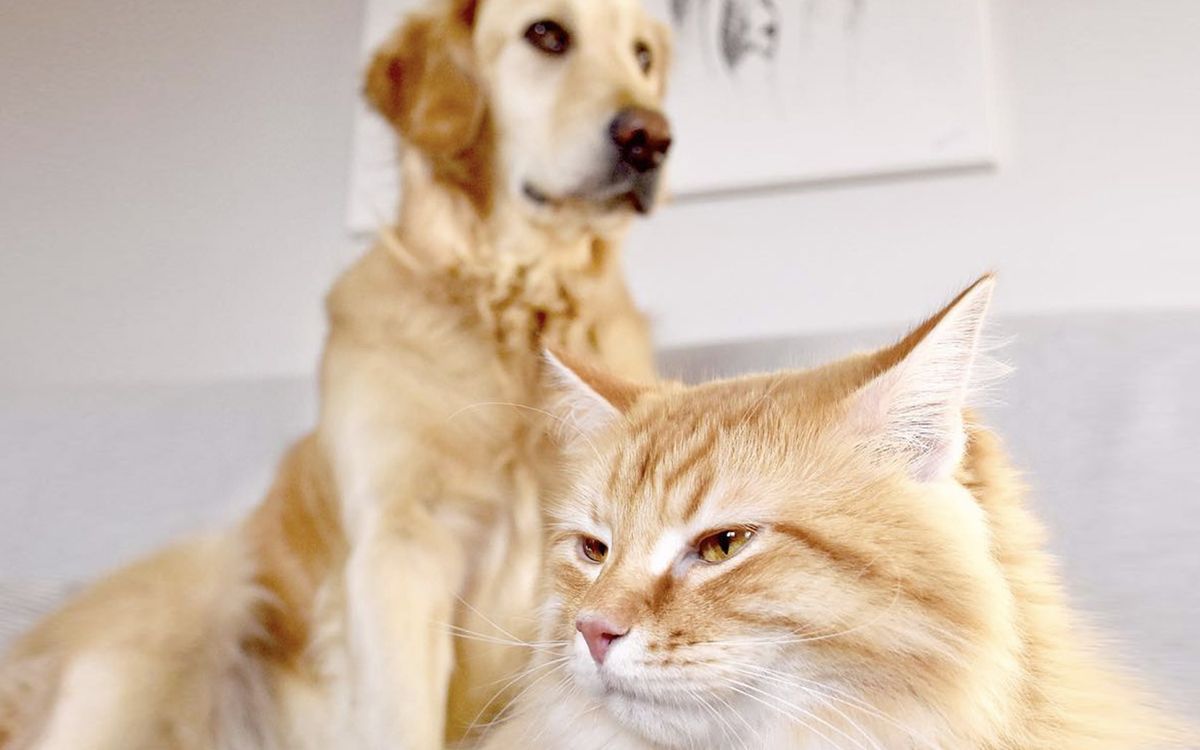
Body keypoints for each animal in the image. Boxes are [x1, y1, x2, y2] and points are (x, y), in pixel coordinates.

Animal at [0, 0, 676, 744]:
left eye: (643, 55)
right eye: (547, 34)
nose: (652, 138)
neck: (516, 311)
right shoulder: (400, 542)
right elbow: (402, 715)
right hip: (182, 604)